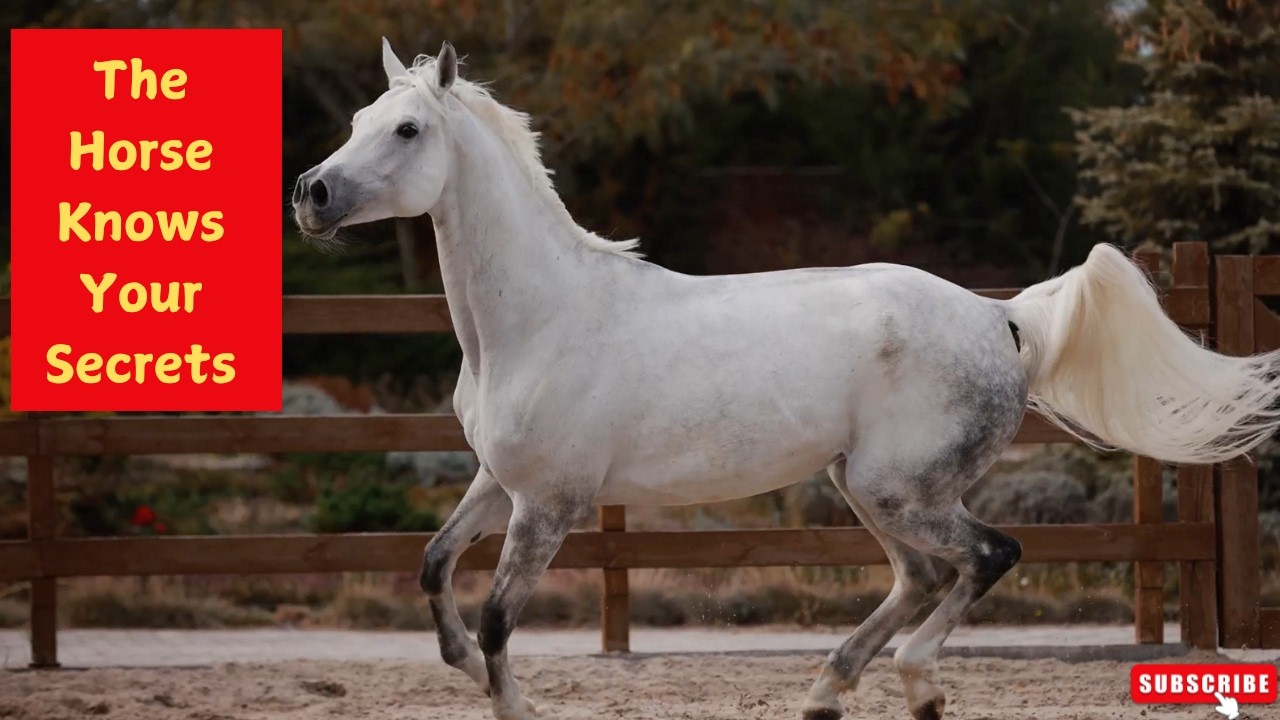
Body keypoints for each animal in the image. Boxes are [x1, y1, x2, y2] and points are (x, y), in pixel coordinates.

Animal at [292, 38, 1280, 720]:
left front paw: (508, 698)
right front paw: (459, 663)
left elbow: (500, 617)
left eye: (407, 128)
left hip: (896, 486)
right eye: (357, 121)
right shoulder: (500, 482)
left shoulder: (551, 504)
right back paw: (832, 691)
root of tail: (999, 318)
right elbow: (431, 564)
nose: (311, 194)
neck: (537, 320)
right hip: (865, 486)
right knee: (924, 574)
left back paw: (912, 682)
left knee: (985, 557)